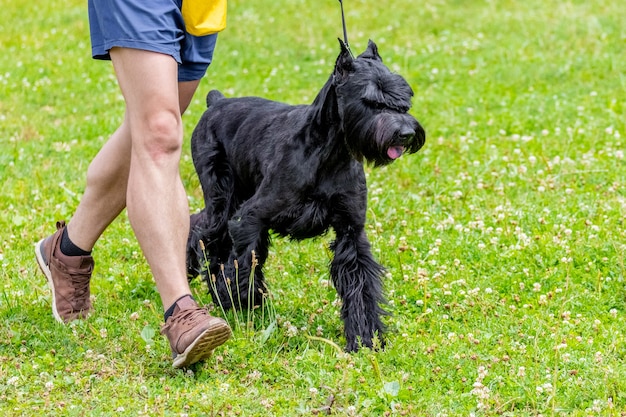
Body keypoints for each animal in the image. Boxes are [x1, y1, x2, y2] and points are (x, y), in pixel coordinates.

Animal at [186, 39, 424, 352]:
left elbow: (361, 286)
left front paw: (365, 338)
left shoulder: (351, 232)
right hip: (222, 199)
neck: (330, 152)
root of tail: (216, 102)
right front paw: (237, 301)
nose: (406, 133)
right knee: (203, 230)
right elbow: (242, 265)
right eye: (372, 102)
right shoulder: (250, 218)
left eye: (405, 99)